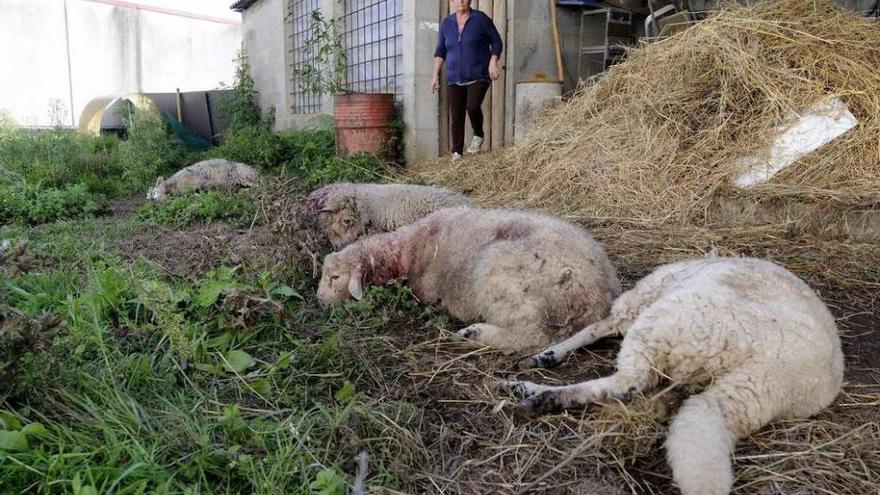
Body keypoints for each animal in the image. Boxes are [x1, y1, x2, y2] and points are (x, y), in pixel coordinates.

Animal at [316, 207, 620, 354]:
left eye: (334, 277)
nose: (319, 299)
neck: (408, 249)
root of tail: (598, 297)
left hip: (499, 275)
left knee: (530, 337)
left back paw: (474, 333)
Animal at [506, 256, 844, 495]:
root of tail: (771, 372)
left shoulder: (632, 309)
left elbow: (593, 329)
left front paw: (547, 355)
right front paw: (548, 355)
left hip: (662, 322)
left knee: (630, 381)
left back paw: (537, 393)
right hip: (740, 390)